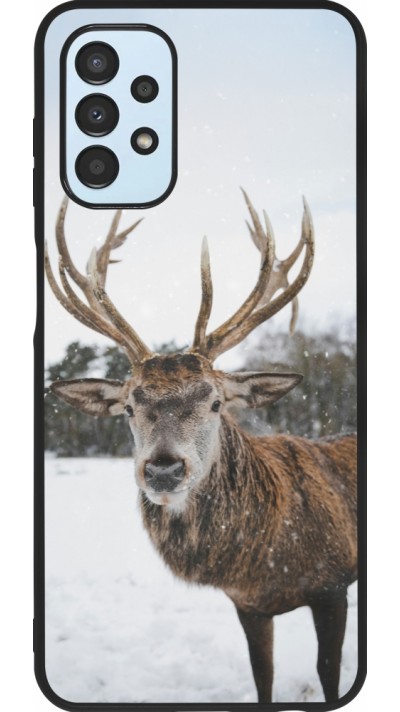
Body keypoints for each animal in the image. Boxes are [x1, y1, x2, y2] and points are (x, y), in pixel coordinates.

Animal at [45, 191, 357, 703]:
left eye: (214, 401)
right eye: (128, 406)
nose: (163, 470)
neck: (266, 561)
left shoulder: (333, 584)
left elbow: (328, 674)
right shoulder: (248, 605)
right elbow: (262, 676)